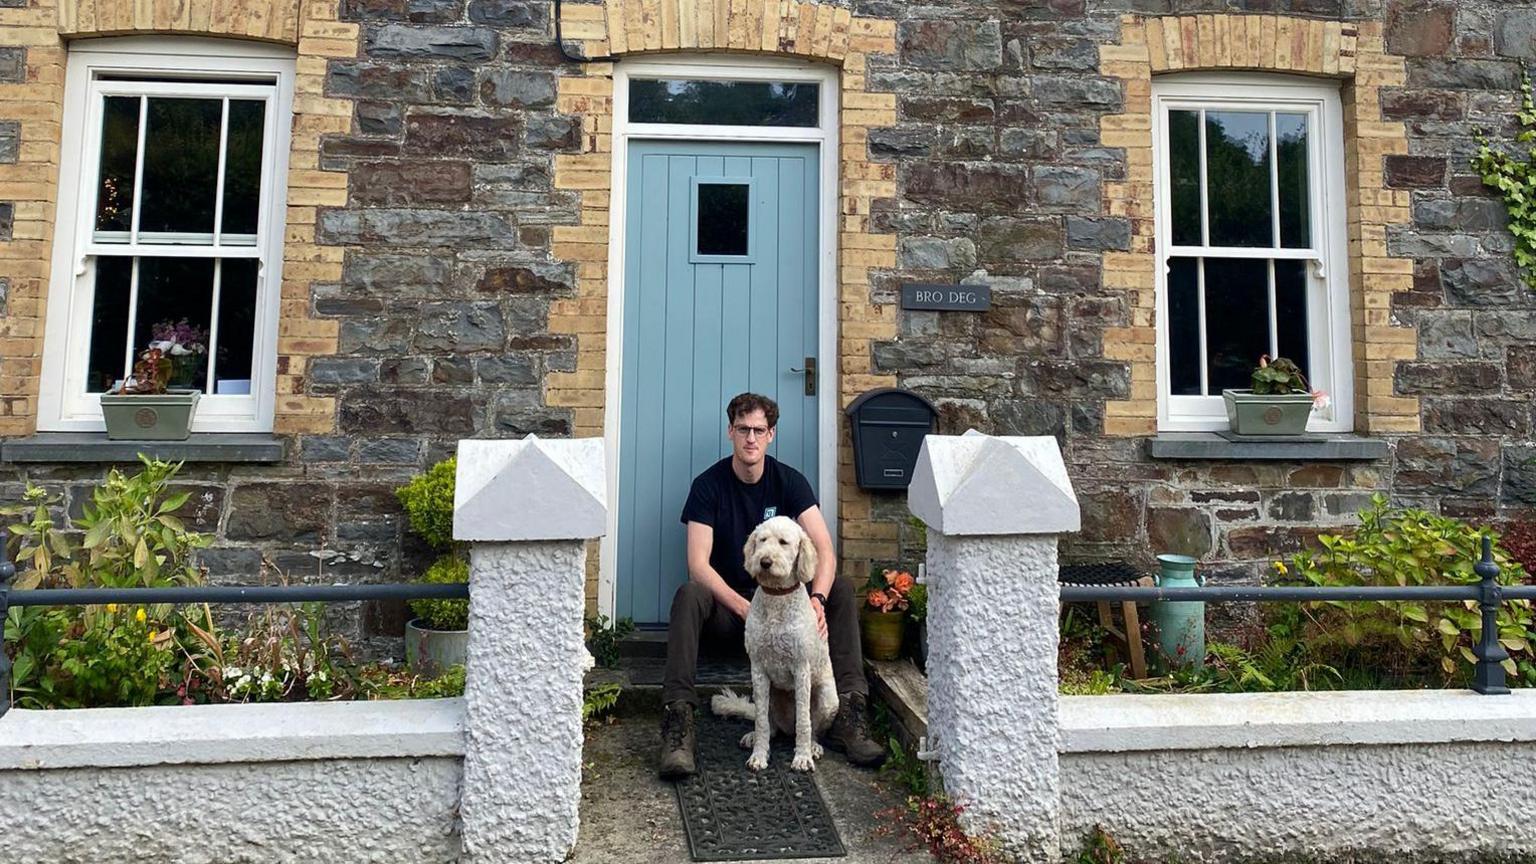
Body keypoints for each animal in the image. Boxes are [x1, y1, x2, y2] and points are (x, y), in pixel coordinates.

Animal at [709, 513, 841, 768]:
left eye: (783, 542)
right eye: (762, 540)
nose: (765, 561)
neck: (776, 597)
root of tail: (786, 726)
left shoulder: (801, 669)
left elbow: (804, 720)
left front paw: (802, 757)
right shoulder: (759, 670)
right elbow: (761, 721)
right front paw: (759, 755)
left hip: (829, 699)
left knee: (812, 727)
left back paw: (813, 746)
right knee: (769, 725)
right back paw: (754, 736)